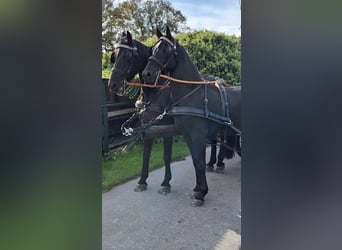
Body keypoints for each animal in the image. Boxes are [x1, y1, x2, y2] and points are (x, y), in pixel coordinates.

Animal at [142, 26, 240, 207]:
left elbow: (200, 162)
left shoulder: (198, 135)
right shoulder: (188, 135)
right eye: (153, 49)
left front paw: (201, 194)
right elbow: (195, 161)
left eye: (165, 49)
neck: (191, 94)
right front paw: (198, 189)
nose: (147, 74)